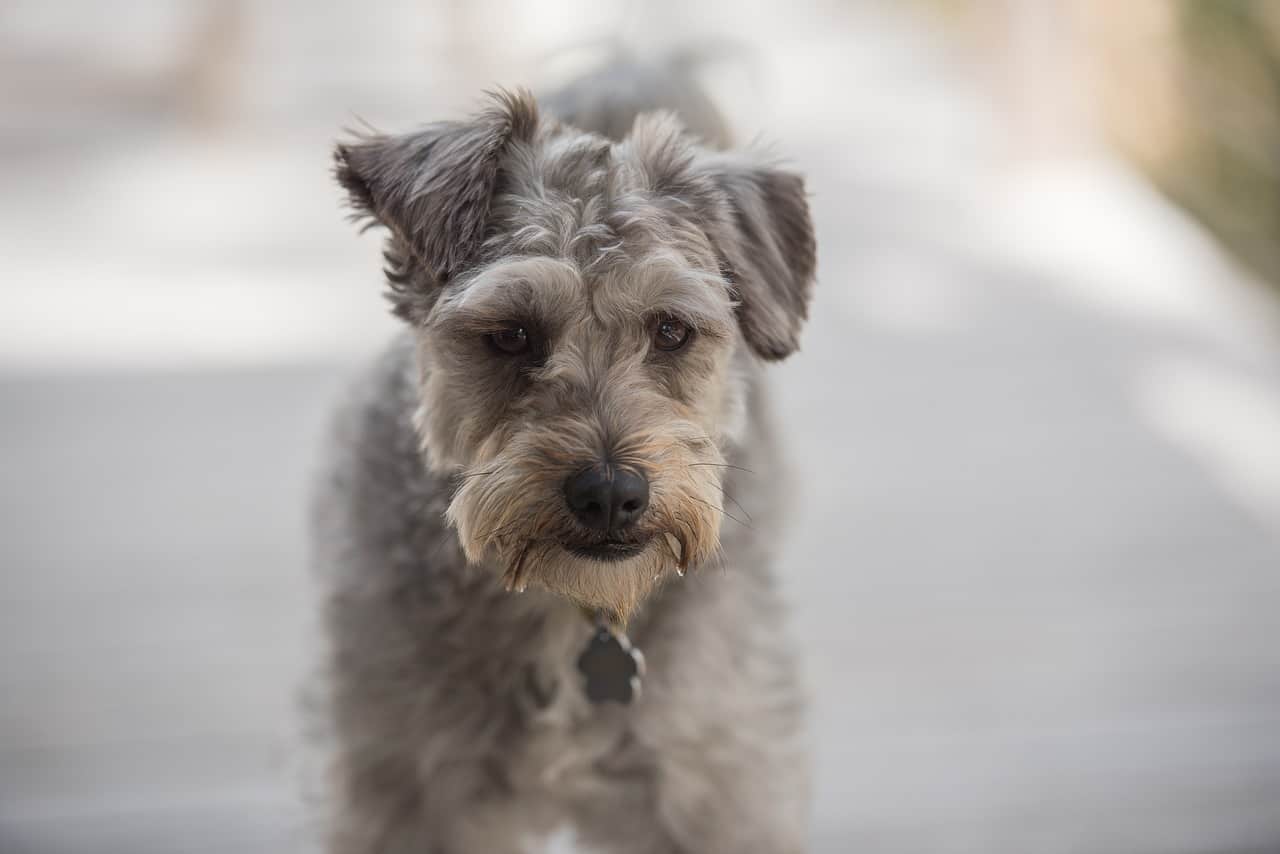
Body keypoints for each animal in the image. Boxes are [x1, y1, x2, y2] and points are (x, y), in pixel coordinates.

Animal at [312, 60, 819, 854]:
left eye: (671, 330)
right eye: (512, 334)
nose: (611, 494)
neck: (569, 610)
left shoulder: (716, 786)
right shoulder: (407, 791)